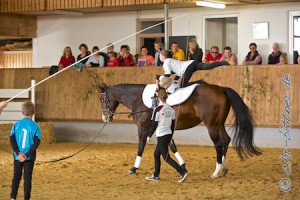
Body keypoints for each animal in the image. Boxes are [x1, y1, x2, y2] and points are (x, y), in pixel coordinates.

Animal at [99, 82, 262, 178]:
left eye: (102, 99)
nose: (105, 117)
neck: (140, 99)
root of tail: (221, 89)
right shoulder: (164, 129)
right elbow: (172, 146)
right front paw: (183, 165)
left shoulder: (143, 128)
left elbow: (140, 147)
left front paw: (134, 168)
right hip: (219, 123)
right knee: (226, 140)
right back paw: (223, 168)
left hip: (211, 125)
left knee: (219, 144)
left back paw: (216, 172)